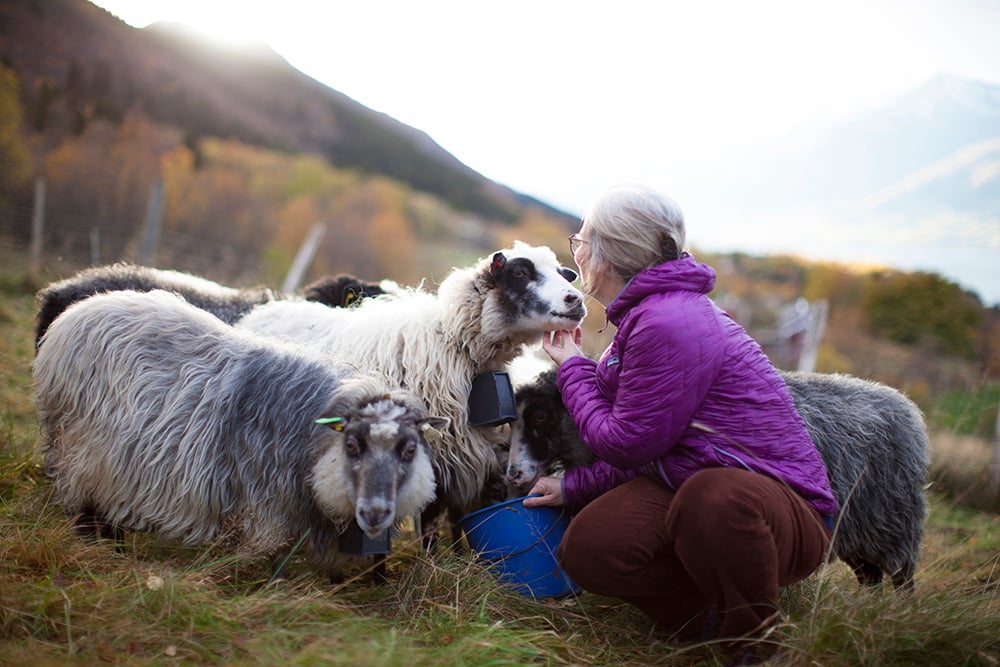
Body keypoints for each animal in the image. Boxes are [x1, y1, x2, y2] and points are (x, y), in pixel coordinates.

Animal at [32, 290, 446, 580]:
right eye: (352, 445)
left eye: (409, 450)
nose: (375, 513)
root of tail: (78, 311)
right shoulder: (270, 508)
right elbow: (272, 558)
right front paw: (270, 586)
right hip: (78, 446)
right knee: (81, 501)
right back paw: (96, 545)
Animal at [235, 241, 588, 548]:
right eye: (519, 272)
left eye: (563, 272)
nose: (576, 300)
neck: (452, 346)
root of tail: (268, 307)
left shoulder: (458, 456)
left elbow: (446, 519)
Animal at [508, 368, 928, 592]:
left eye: (542, 417)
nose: (513, 474)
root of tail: (904, 405)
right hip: (862, 530)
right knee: (870, 576)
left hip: (895, 523)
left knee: (901, 576)